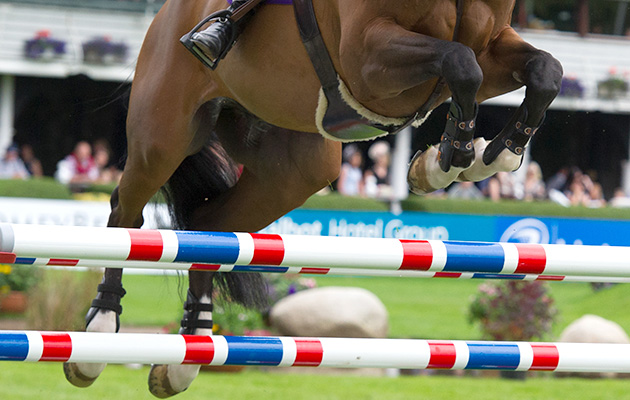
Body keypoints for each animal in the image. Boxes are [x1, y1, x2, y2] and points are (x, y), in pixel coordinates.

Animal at [64, 0, 564, 396]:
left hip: (293, 168)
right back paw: (99, 332)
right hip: (163, 136)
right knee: (126, 213)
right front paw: (451, 159)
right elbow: (462, 64)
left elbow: (543, 71)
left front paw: (481, 158)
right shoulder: (368, 59)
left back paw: (188, 354)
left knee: (212, 225)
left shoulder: (488, 43)